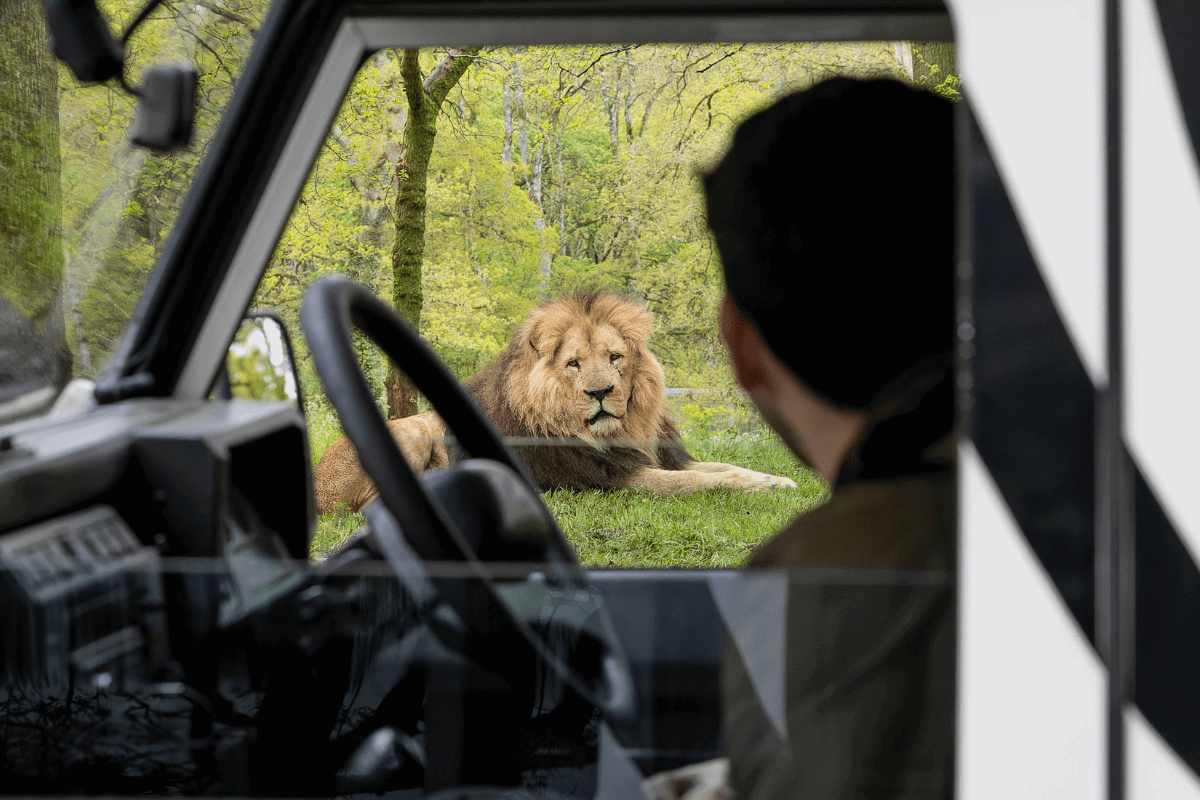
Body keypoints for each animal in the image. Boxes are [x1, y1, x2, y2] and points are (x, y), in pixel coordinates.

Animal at [313, 293, 797, 514]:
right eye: (574, 364)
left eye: (615, 358)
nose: (600, 393)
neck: (623, 431)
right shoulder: (609, 478)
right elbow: (698, 483)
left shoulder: (658, 455)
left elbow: (724, 468)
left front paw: (777, 481)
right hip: (411, 431)